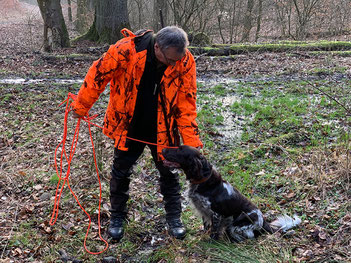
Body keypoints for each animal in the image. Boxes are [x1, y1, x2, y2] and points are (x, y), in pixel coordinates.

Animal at [163, 145, 302, 242]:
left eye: (180, 149)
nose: (163, 149)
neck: (204, 180)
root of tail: (263, 222)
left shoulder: (216, 214)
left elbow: (214, 231)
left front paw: (211, 242)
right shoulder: (203, 210)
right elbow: (206, 226)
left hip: (236, 226)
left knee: (248, 237)